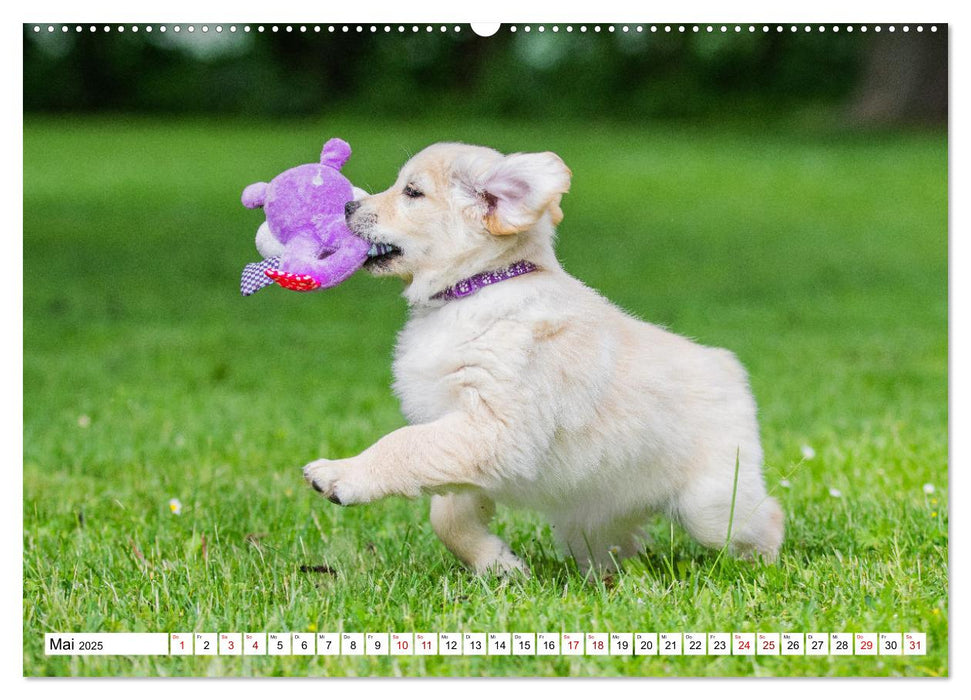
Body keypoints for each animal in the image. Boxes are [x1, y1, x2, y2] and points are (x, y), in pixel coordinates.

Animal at [308, 141, 784, 576]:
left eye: (412, 192)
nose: (347, 205)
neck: (478, 286)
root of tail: (725, 364)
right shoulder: (462, 436)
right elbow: (446, 515)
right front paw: (498, 564)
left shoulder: (494, 426)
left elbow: (403, 445)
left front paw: (341, 474)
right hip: (593, 515)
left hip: (712, 504)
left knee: (766, 518)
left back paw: (763, 567)